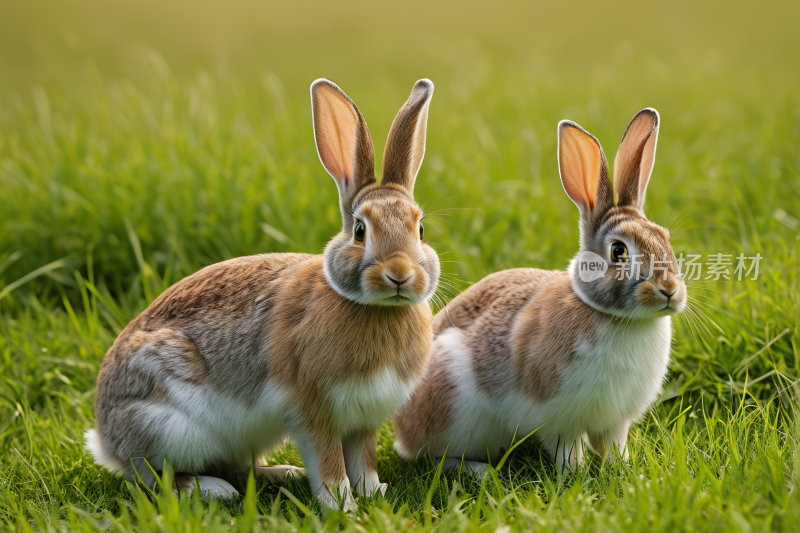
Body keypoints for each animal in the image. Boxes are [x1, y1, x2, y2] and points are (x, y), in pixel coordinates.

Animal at [86, 78, 444, 508]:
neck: (377, 308)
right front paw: (343, 506)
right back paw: (213, 489)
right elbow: (329, 464)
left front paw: (374, 493)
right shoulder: (312, 411)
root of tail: (105, 438)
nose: (399, 274)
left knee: (235, 466)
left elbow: (364, 460)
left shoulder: (363, 421)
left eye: (420, 229)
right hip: (168, 427)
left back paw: (281, 473)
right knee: (155, 477)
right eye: (360, 231)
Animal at [390, 108, 684, 474]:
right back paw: (479, 471)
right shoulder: (559, 419)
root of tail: (401, 428)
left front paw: (625, 472)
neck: (617, 317)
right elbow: (566, 450)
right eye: (618, 251)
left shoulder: (615, 422)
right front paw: (576, 475)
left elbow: (614, 446)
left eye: (665, 238)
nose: (669, 290)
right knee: (432, 455)